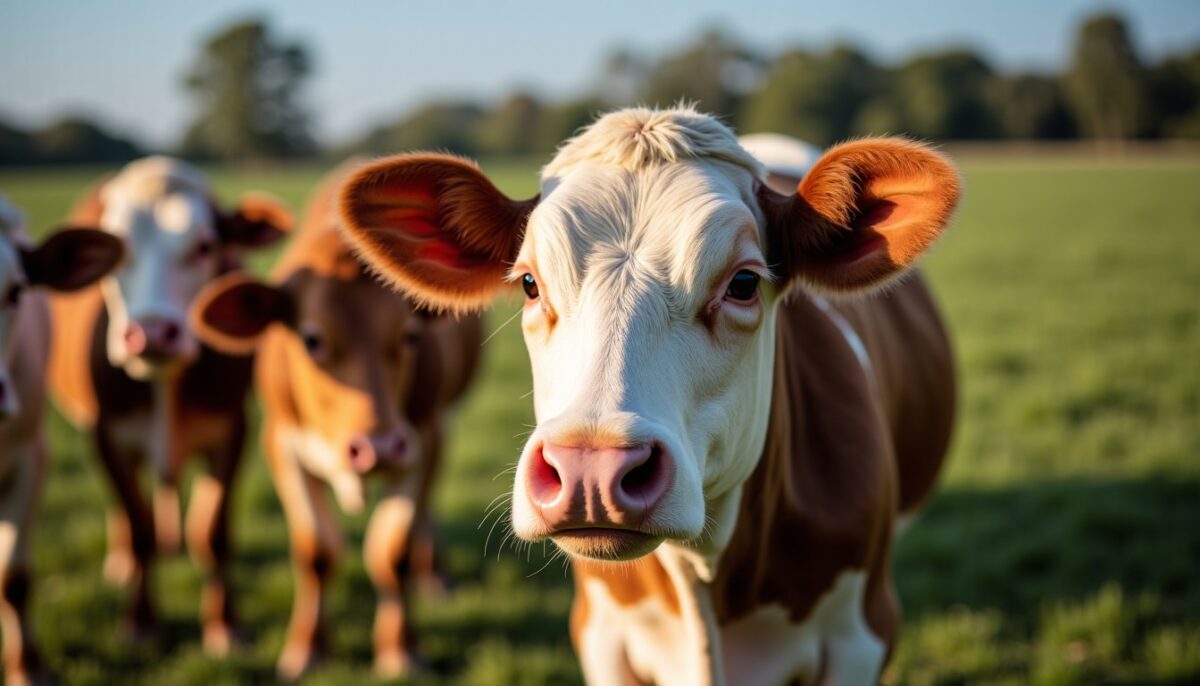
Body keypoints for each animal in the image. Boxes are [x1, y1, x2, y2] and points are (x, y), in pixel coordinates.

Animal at [45, 157, 291, 651]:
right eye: (117, 253)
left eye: (205, 246)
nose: (152, 332)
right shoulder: (106, 435)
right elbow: (139, 530)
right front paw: (140, 622)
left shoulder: (231, 431)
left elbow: (214, 533)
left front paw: (225, 625)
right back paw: (123, 561)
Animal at [187, 164, 483, 679]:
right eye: (311, 339)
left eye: (410, 335)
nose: (378, 448)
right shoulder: (281, 443)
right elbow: (317, 552)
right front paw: (307, 649)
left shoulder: (420, 441)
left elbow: (392, 551)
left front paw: (401, 649)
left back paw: (435, 573)